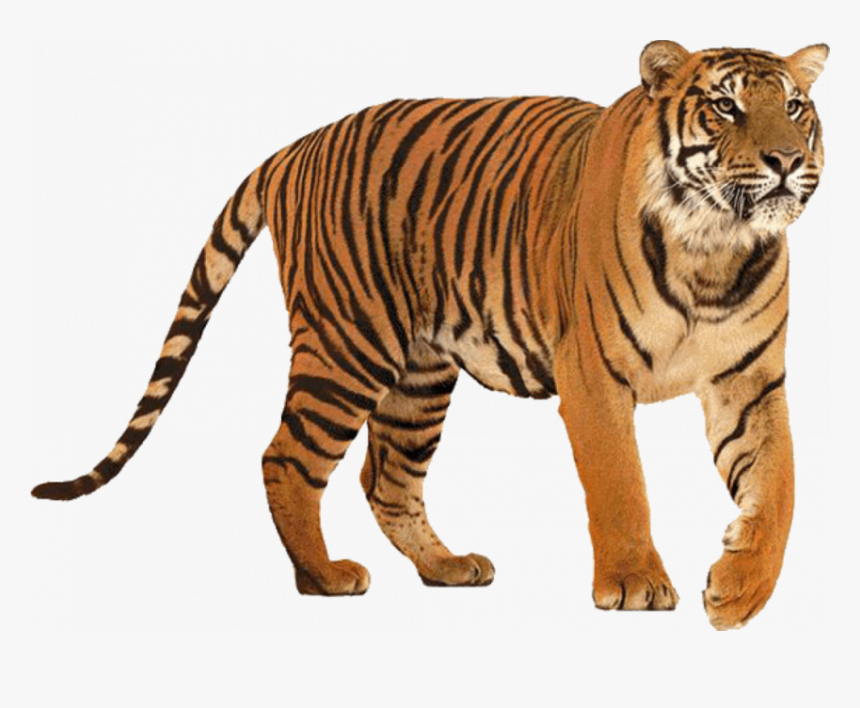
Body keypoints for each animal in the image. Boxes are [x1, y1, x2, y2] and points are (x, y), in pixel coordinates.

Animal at [32, 41, 828, 630]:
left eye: (793, 107)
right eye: (725, 106)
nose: (787, 160)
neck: (715, 249)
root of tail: (296, 146)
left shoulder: (751, 382)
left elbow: (780, 487)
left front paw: (740, 593)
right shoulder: (593, 379)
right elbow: (621, 483)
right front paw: (634, 582)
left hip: (417, 375)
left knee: (385, 478)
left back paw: (446, 568)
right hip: (346, 344)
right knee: (285, 457)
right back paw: (324, 576)